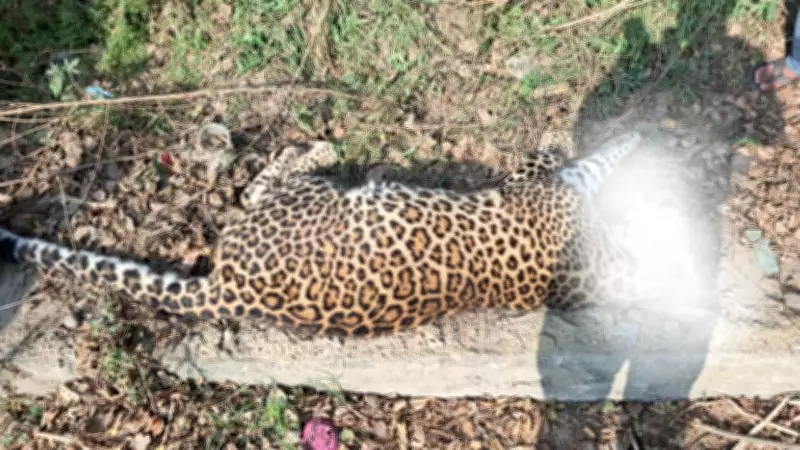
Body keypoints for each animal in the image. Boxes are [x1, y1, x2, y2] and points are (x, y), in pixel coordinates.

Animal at [0, 131, 643, 339]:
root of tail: (228, 290)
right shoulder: (548, 189)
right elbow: (588, 162)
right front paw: (631, 138)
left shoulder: (538, 190)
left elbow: (571, 165)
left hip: (302, 202)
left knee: (260, 186)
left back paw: (318, 149)